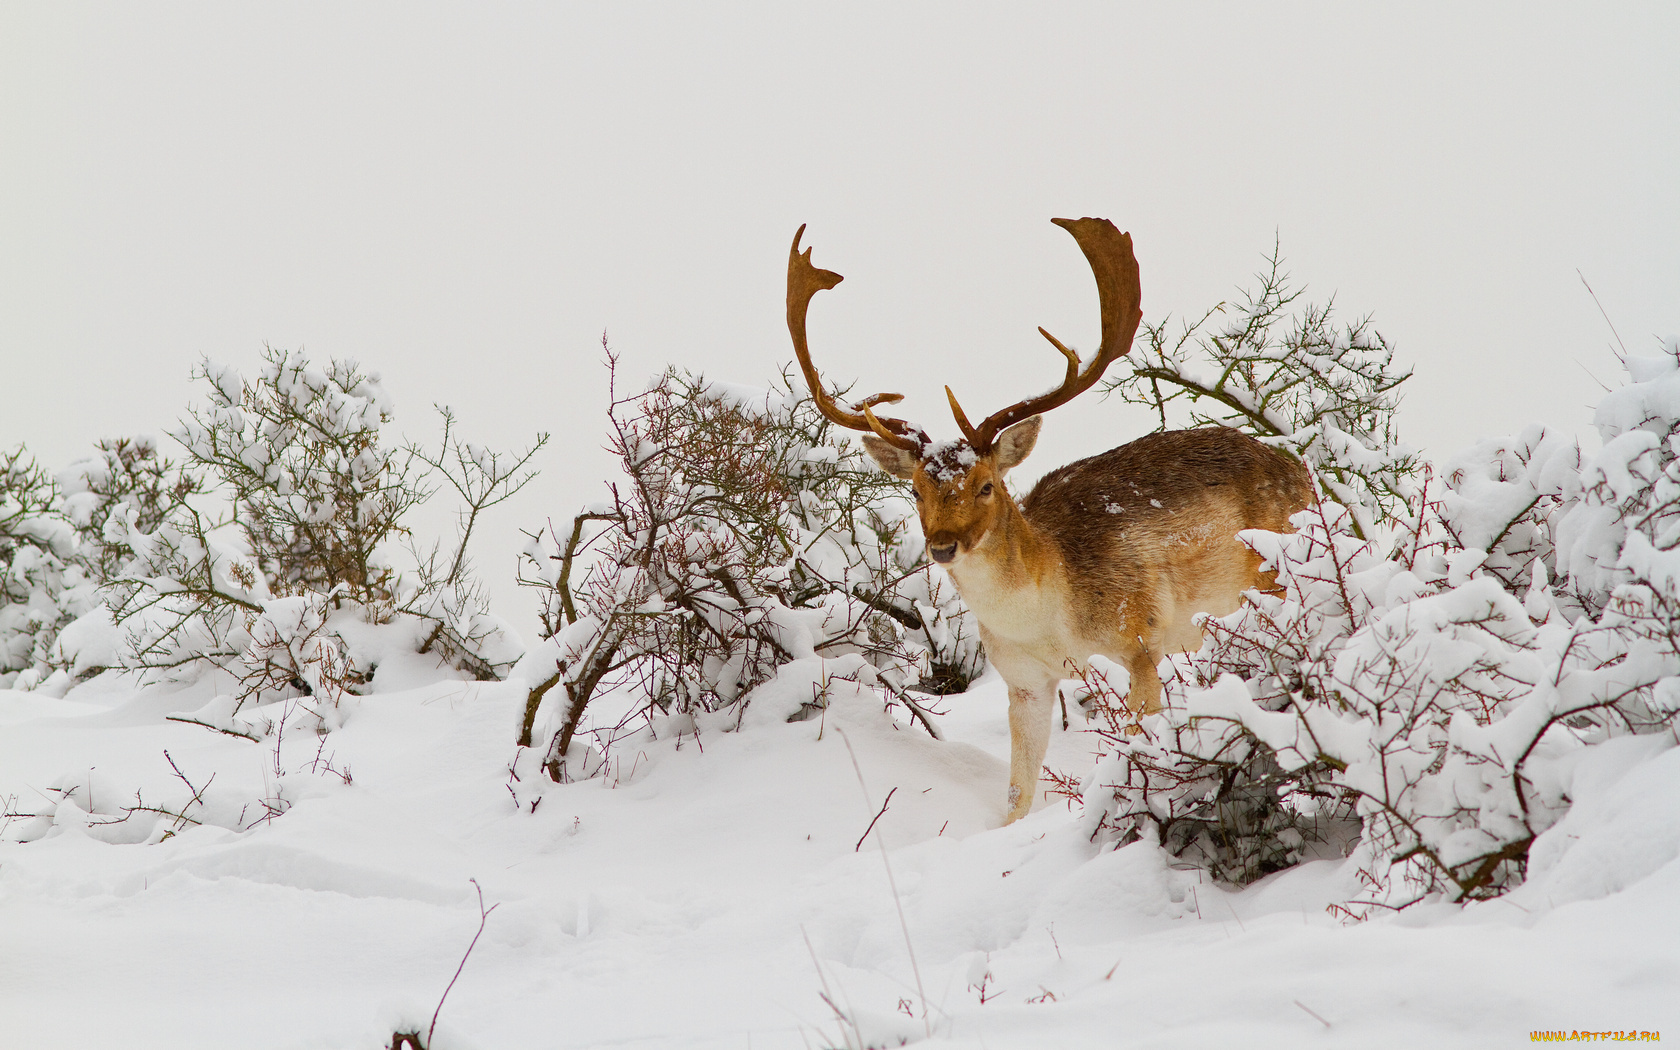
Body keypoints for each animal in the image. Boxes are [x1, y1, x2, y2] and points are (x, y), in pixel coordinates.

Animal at [782, 216, 1310, 823]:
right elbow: (1017, 791)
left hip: (1274, 583)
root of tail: (1305, 474)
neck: (1049, 614)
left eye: (987, 484)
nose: (942, 545)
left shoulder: (1141, 640)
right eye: (915, 490)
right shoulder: (1024, 679)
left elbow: (1135, 745)